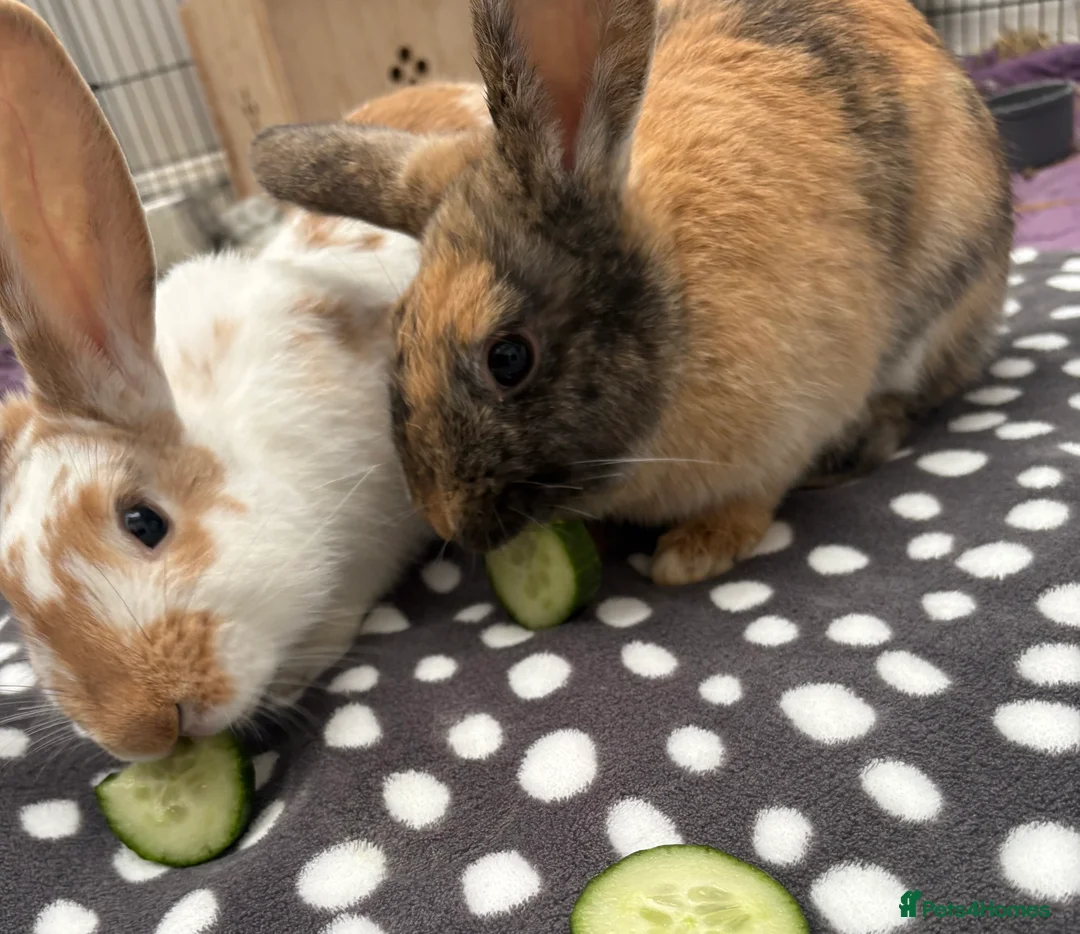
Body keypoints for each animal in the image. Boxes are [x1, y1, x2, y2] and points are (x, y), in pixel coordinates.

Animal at [249, 0, 1014, 588]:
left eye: (508, 358)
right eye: (398, 334)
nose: (445, 519)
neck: (679, 302)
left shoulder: (796, 421)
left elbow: (754, 496)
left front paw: (693, 555)